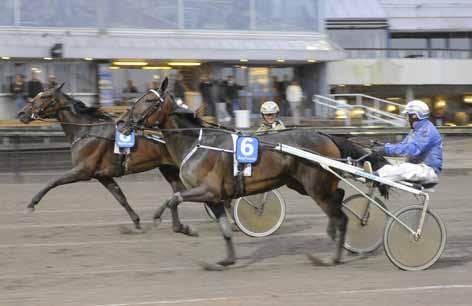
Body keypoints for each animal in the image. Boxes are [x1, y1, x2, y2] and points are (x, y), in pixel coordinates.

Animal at [17, 83, 196, 234]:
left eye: (44, 96)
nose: (21, 113)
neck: (87, 133)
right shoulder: (103, 175)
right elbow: (120, 197)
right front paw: (137, 222)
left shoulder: (83, 171)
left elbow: (52, 181)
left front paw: (31, 204)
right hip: (168, 168)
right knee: (179, 191)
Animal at [116, 79, 390, 270]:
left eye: (148, 101)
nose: (121, 122)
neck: (197, 142)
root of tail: (327, 136)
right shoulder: (214, 197)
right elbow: (225, 229)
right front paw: (226, 261)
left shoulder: (207, 190)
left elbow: (173, 200)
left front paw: (179, 226)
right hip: (302, 184)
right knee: (339, 196)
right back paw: (333, 233)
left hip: (316, 187)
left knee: (341, 215)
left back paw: (333, 256)